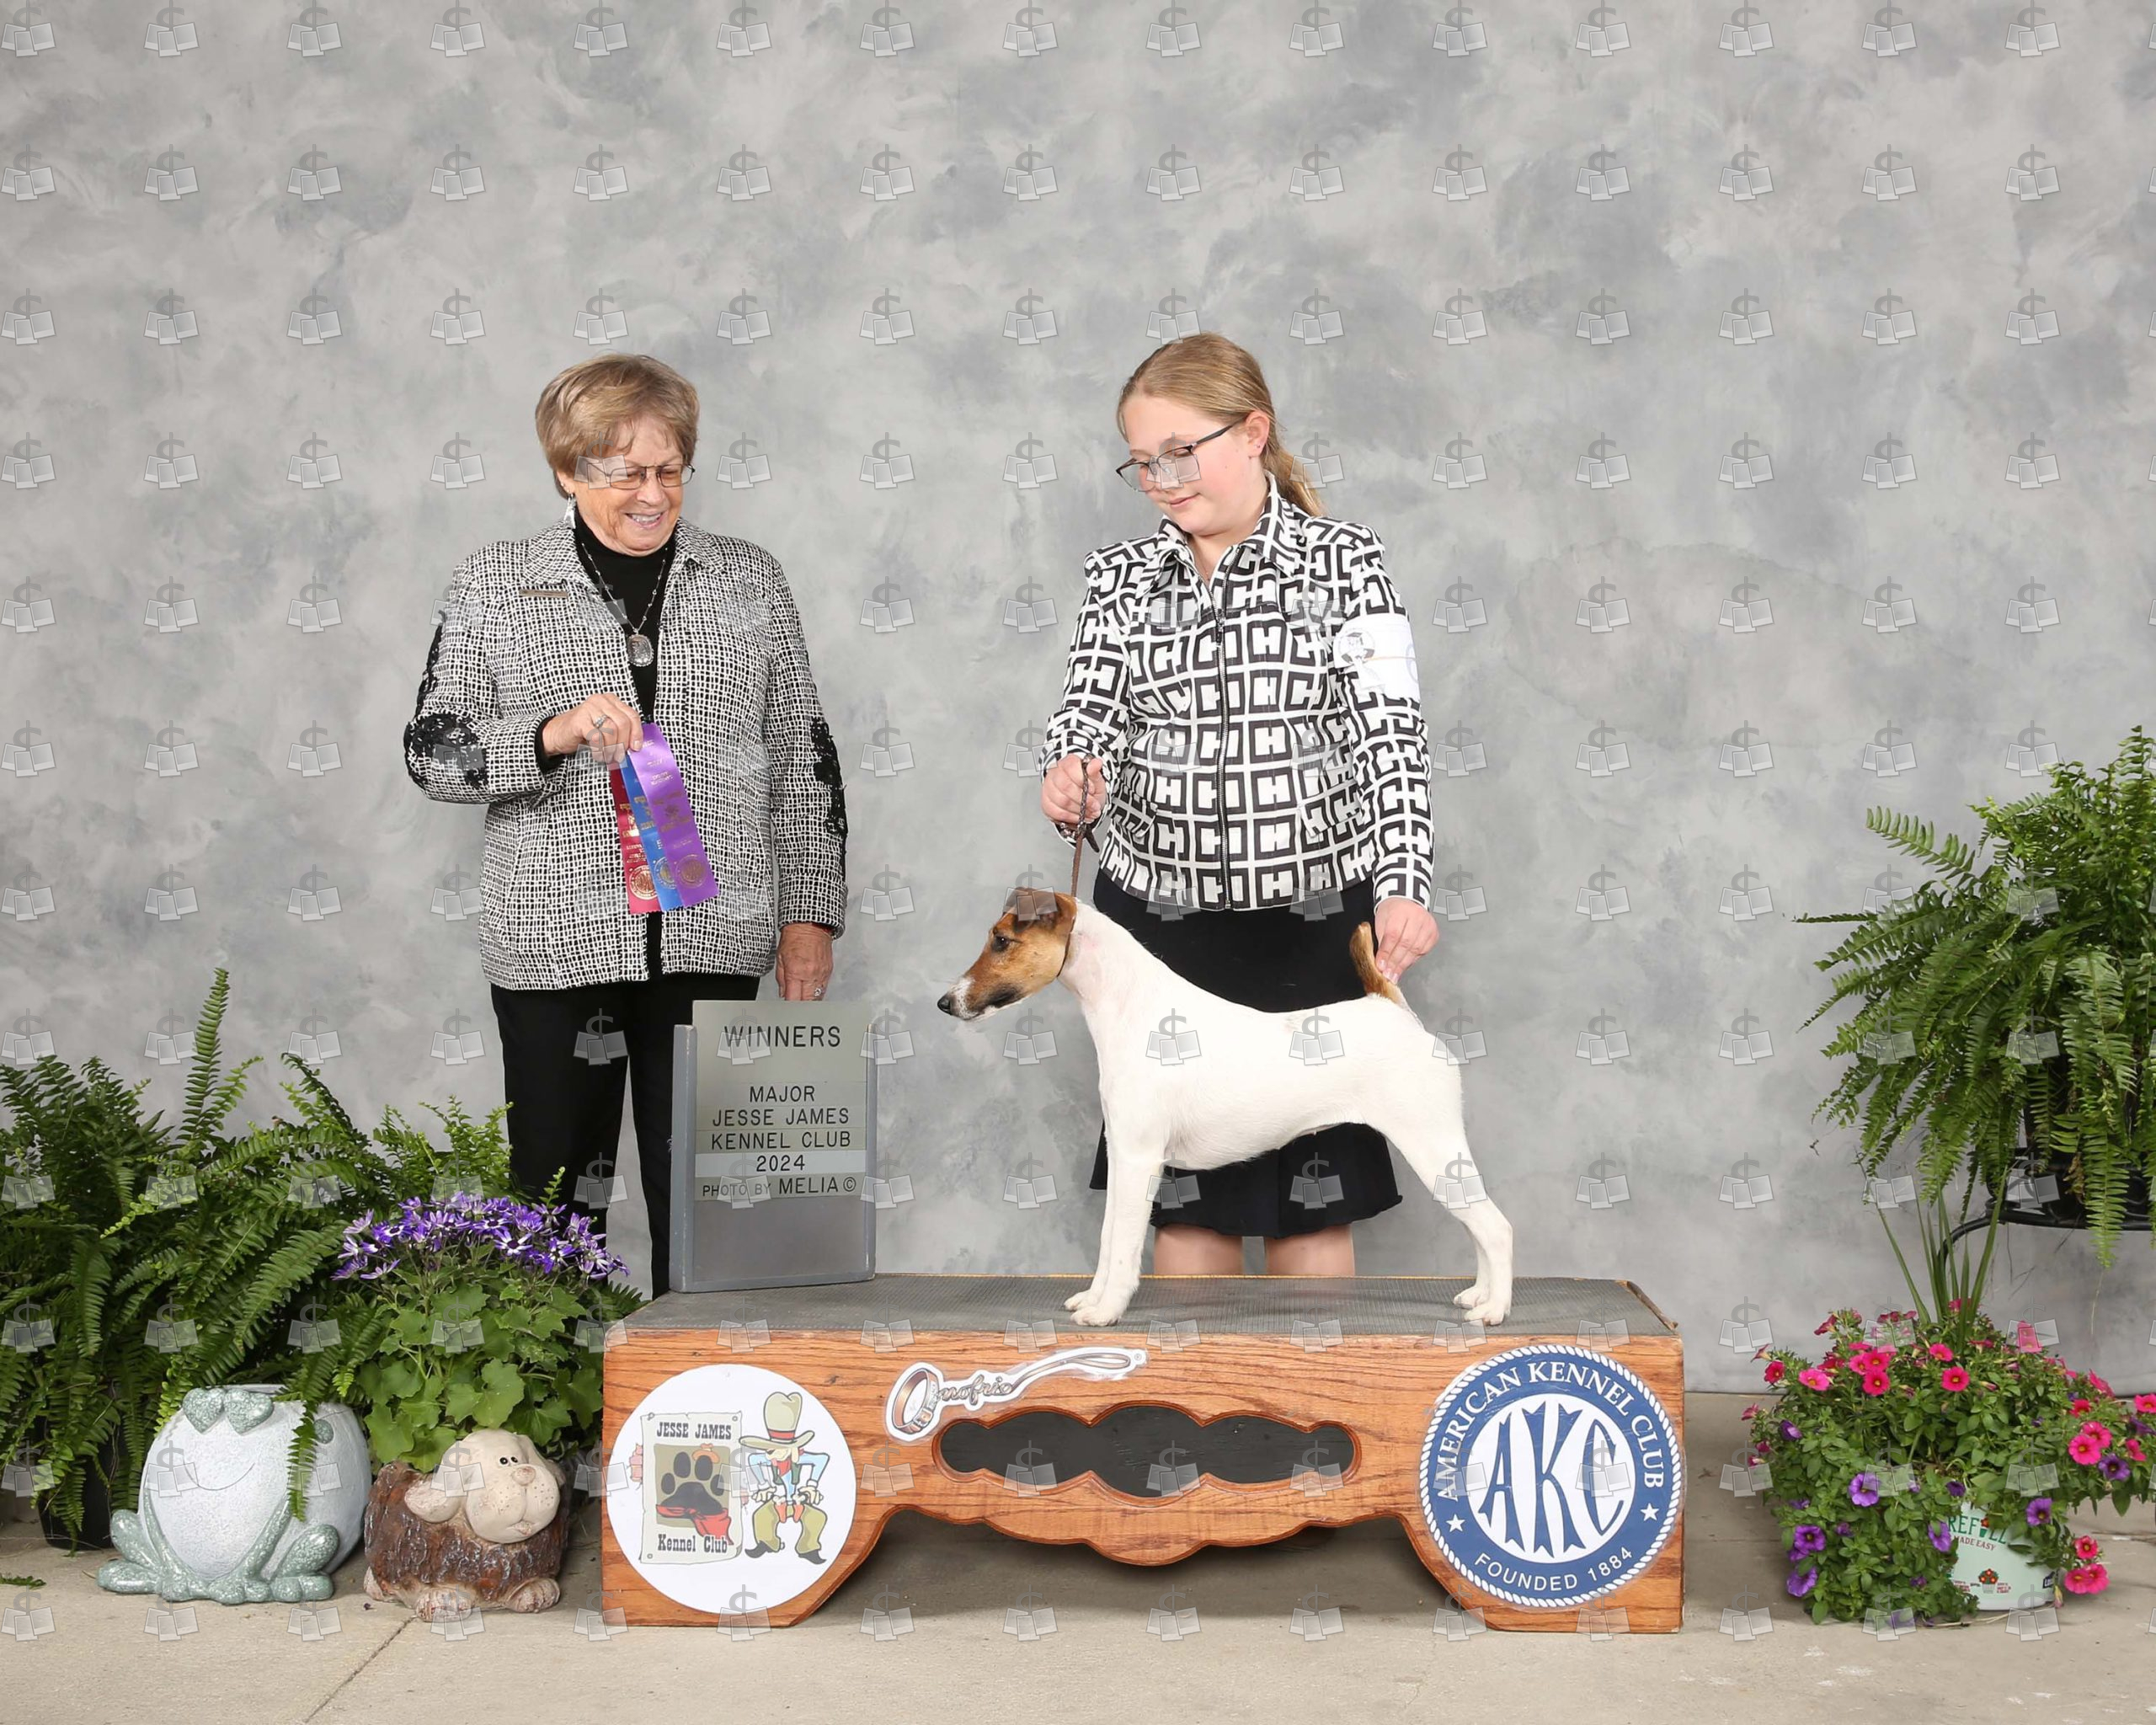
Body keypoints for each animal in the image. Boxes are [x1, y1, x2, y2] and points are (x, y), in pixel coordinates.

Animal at [937, 888, 1513, 1329]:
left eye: (1002, 941)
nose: (945, 1003)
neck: (1131, 1006)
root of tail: (1393, 1011)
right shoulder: (1121, 1156)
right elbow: (1107, 1239)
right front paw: (1092, 1299)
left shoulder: (1140, 1159)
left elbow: (1122, 1246)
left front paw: (1106, 1311)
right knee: (1480, 1229)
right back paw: (1478, 1296)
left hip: (1431, 1146)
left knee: (1495, 1228)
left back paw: (1494, 1310)